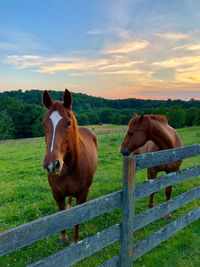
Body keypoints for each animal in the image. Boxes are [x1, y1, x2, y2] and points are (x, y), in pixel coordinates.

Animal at [42, 89, 98, 244]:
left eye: (68, 123)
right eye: (44, 124)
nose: (51, 165)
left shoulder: (82, 193)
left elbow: (78, 217)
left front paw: (74, 240)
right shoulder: (57, 193)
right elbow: (61, 212)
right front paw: (63, 237)